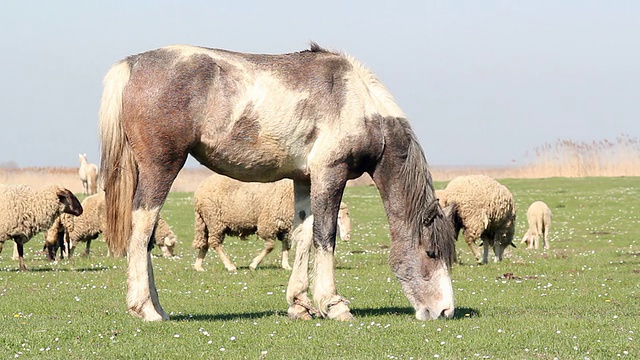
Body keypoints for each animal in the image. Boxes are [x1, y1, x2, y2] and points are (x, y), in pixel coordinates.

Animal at [192, 175, 352, 272]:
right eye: (338, 217)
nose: (348, 237)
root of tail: (200, 188)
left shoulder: (285, 227)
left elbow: (286, 246)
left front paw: (286, 265)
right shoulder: (267, 224)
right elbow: (270, 246)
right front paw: (254, 264)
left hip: (204, 221)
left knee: (204, 243)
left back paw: (198, 266)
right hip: (215, 220)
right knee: (215, 243)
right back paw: (230, 265)